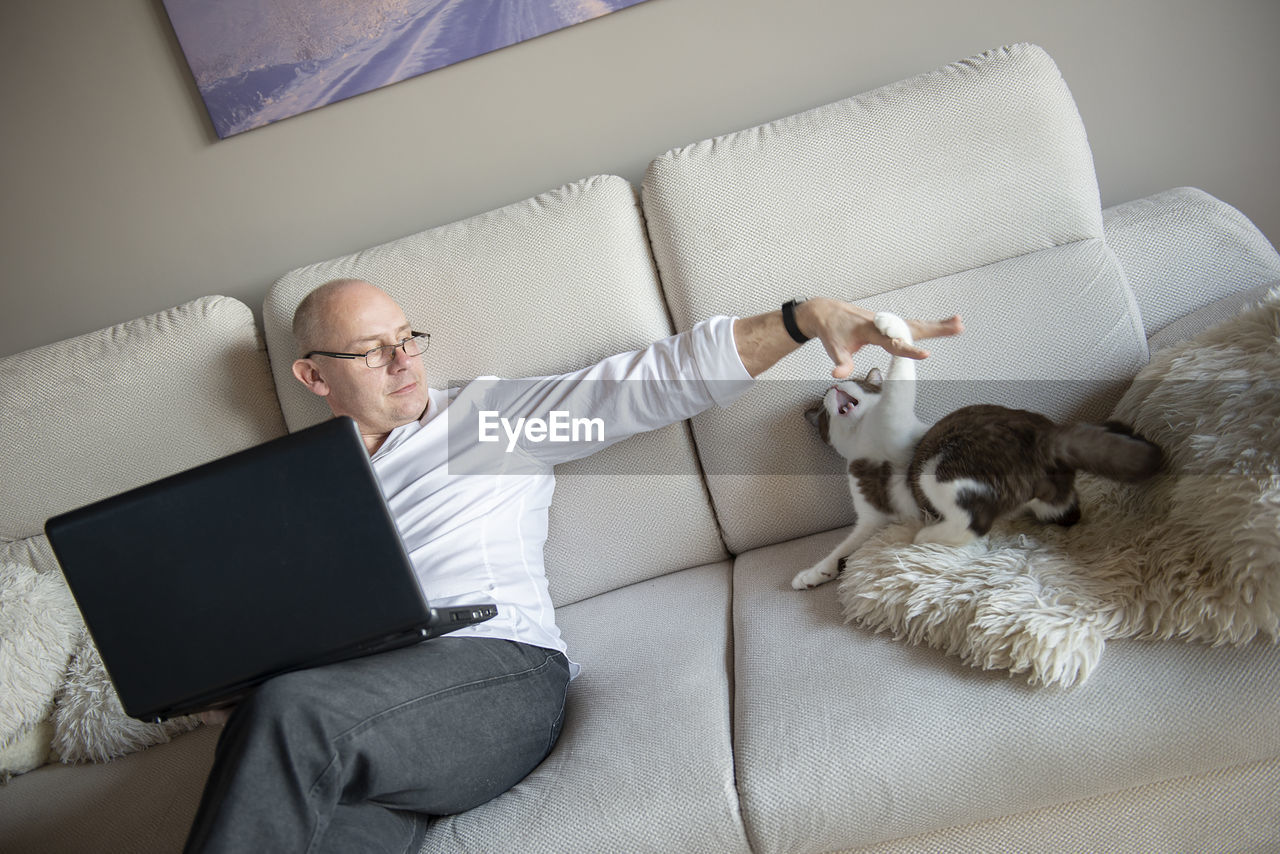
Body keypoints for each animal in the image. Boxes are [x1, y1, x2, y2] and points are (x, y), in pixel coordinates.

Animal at [788, 312, 1162, 588]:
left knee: (974, 522)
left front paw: (890, 324)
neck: (864, 442)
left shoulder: (894, 419)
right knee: (1058, 514)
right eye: (822, 413)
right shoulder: (873, 519)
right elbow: (845, 546)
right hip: (1045, 500)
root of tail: (1048, 435)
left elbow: (899, 376)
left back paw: (926, 535)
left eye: (857, 382)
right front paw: (815, 572)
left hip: (934, 467)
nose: (833, 386)